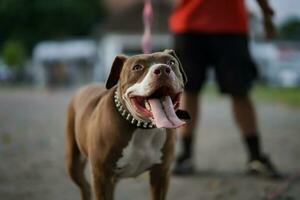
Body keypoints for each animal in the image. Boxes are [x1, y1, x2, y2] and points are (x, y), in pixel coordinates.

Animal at [65, 49, 189, 199]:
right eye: (137, 67)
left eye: (171, 62)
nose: (163, 69)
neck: (142, 128)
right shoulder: (102, 176)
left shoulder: (161, 174)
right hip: (74, 162)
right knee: (84, 186)